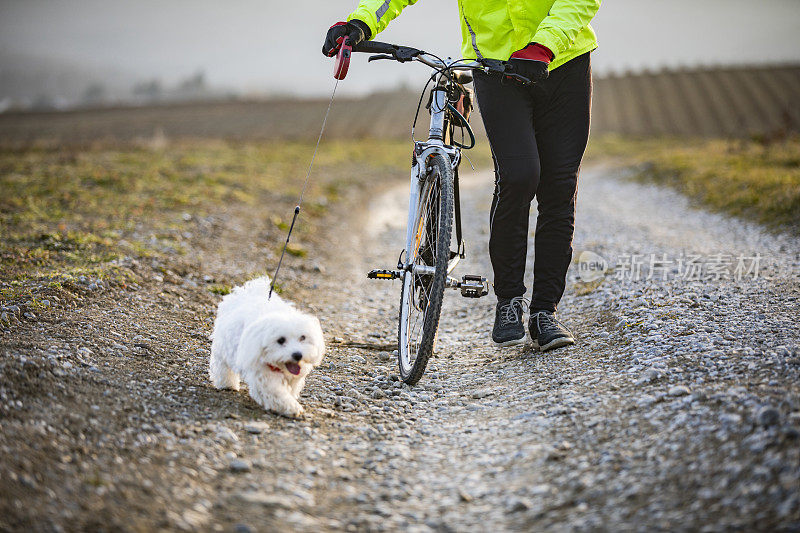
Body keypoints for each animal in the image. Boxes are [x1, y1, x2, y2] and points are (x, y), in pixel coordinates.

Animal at [212, 276, 328, 418]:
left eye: (302, 337)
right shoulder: (263, 375)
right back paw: (227, 384)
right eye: (281, 340)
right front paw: (291, 407)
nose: (297, 354)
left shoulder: (295, 377)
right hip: (222, 348)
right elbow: (276, 393)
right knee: (222, 366)